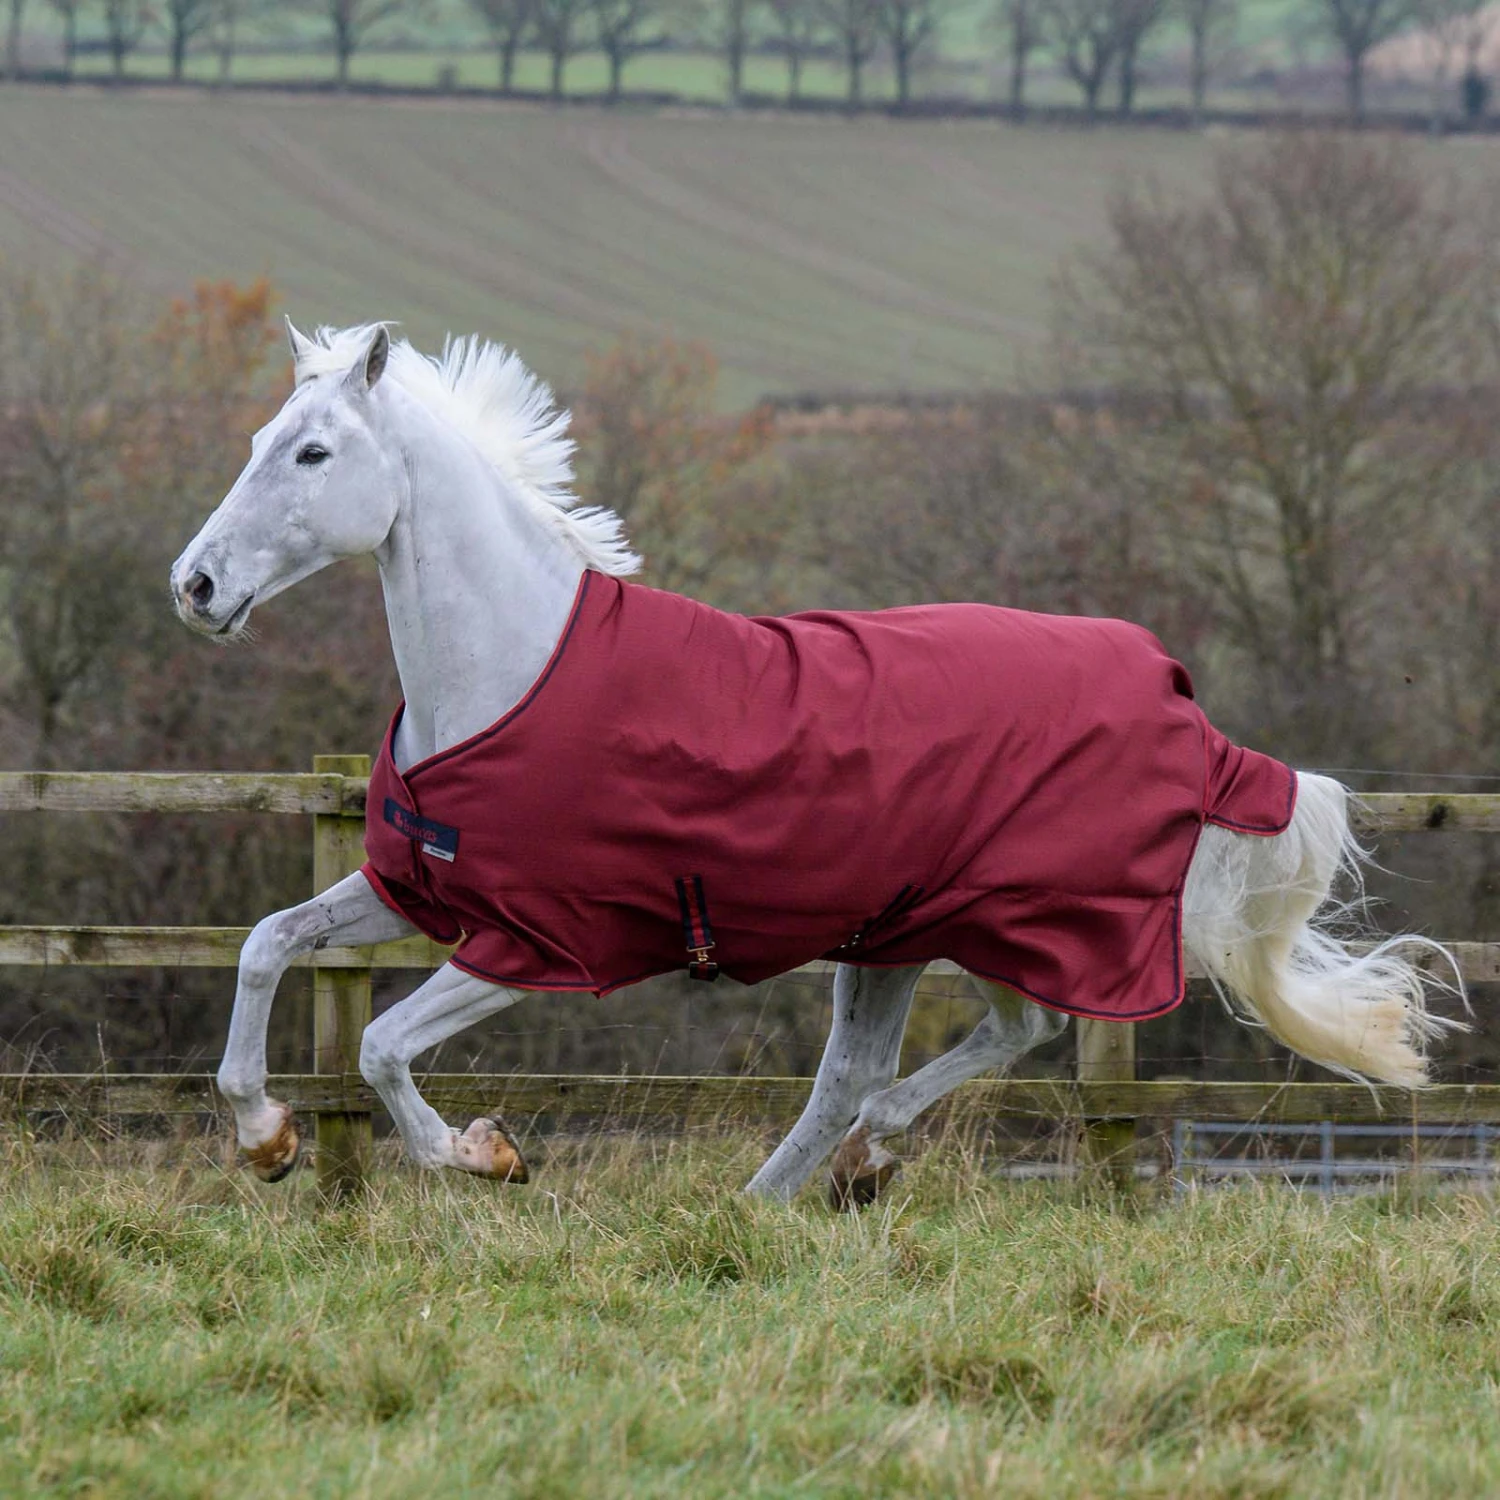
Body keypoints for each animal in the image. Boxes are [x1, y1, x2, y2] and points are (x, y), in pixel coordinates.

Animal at [171, 321, 1458, 1206]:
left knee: (1004, 1037)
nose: (195, 587)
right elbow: (266, 944)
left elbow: (380, 1044)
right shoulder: (418, 891)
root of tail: (1171, 691)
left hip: (1006, 916)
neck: (513, 671)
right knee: (912, 1058)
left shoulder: (544, 943)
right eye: (259, 441)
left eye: (313, 452)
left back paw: (844, 1166)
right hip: (895, 933)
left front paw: (482, 1154)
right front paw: (266, 1138)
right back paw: (791, 1191)